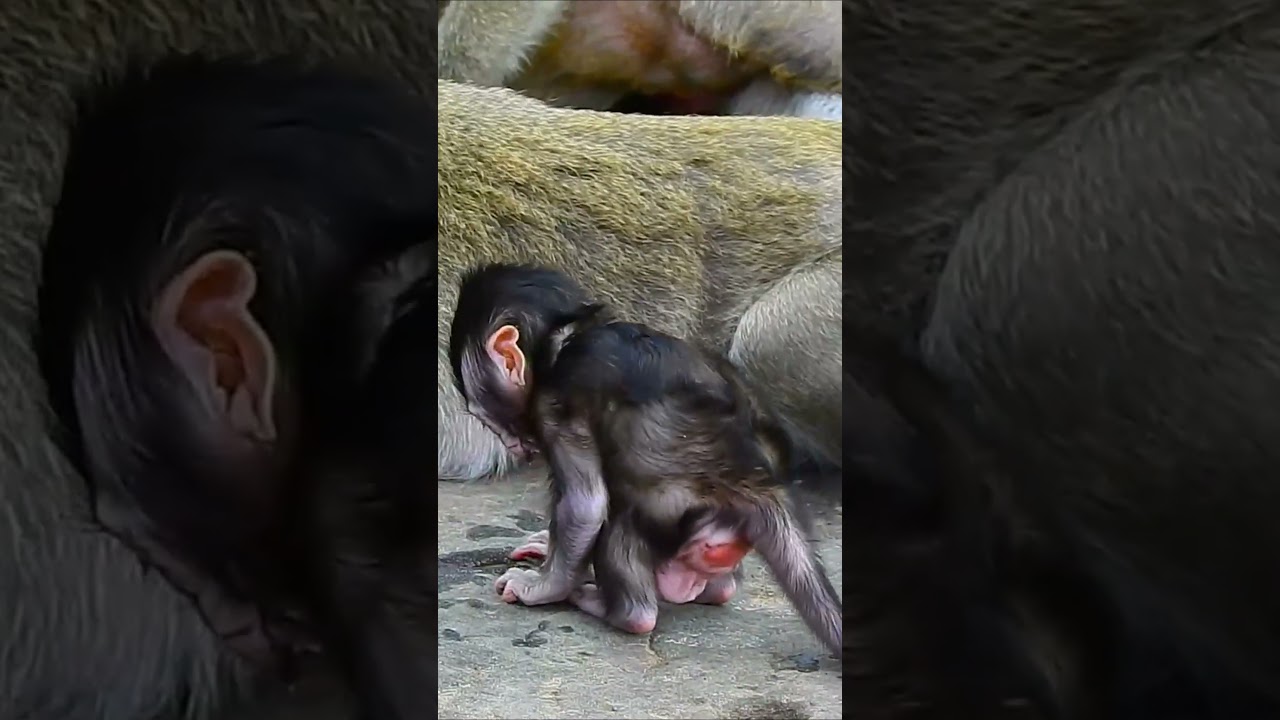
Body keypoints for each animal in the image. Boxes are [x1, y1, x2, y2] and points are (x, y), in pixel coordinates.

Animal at [448, 263, 842, 654]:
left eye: (482, 412)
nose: (508, 442)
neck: (564, 340)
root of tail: (757, 484)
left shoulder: (556, 407)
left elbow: (585, 505)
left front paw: (540, 587)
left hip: (675, 516)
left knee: (618, 520)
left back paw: (616, 609)